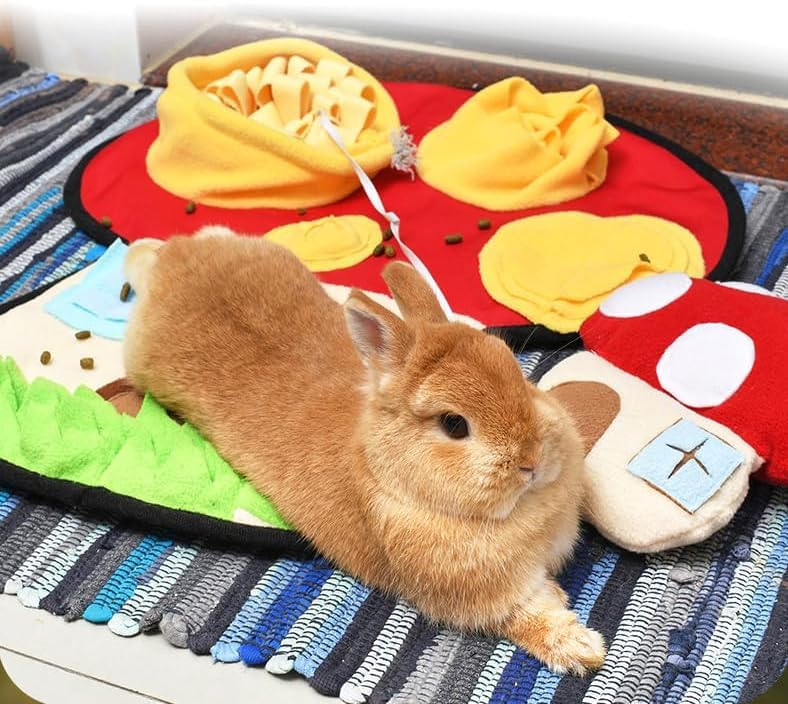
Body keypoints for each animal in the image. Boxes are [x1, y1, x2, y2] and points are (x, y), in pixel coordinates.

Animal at [123, 227, 606, 675]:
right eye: (454, 424)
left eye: (517, 373)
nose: (532, 461)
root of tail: (174, 258)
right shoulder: (483, 598)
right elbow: (528, 617)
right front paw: (584, 649)